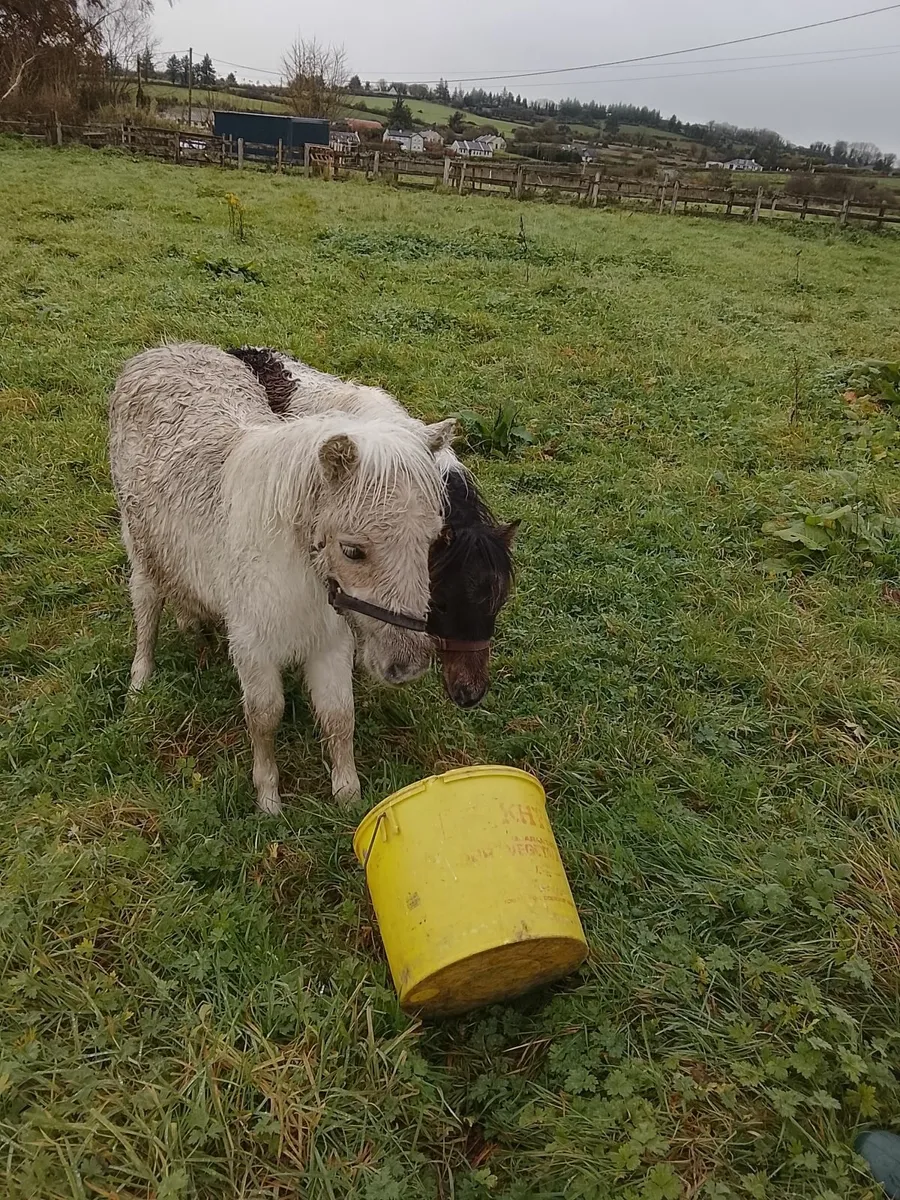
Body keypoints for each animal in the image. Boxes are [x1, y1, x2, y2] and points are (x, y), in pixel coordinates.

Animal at [109, 342, 454, 814]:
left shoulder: (331, 641)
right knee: (147, 614)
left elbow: (339, 716)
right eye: (352, 549)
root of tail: (158, 351)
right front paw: (268, 800)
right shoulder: (253, 647)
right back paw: (139, 686)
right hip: (141, 555)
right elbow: (264, 716)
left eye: (433, 539)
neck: (298, 567)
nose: (408, 664)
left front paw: (349, 797)